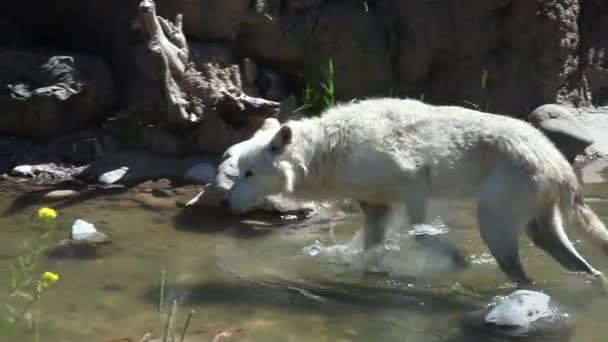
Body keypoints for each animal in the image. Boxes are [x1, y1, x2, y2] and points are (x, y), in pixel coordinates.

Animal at [222, 97, 608, 288]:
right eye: (236, 170)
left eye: (249, 173)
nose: (227, 202)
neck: (331, 149)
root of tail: (558, 161)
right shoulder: (375, 204)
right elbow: (372, 246)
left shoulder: (413, 181)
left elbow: (421, 232)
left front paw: (456, 260)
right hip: (538, 222)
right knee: (580, 264)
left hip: (494, 219)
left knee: (517, 268)